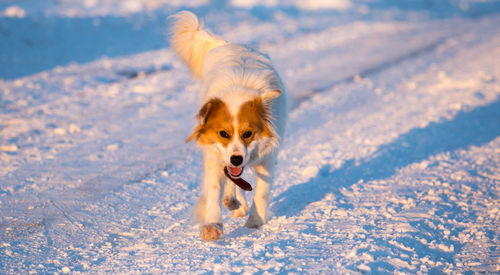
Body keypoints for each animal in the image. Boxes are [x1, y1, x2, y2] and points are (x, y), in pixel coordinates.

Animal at [170, 11, 288, 242]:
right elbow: (215, 187)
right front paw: (212, 225)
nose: (236, 159)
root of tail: (229, 43)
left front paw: (255, 221)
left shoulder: (267, 158)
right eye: (223, 133)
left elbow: (261, 191)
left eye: (248, 133)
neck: (238, 90)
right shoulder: (216, 157)